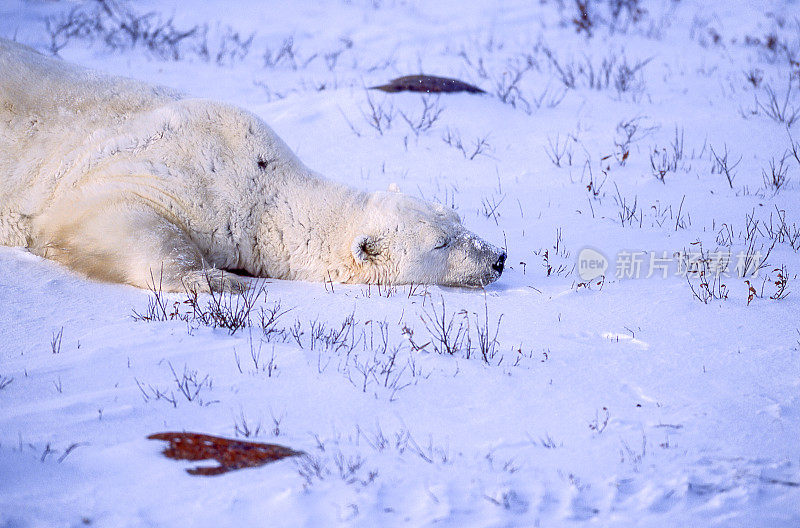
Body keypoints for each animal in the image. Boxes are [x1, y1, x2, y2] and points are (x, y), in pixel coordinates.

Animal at [0, 38, 506, 290]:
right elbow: (107, 216)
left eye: (458, 219)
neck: (260, 185)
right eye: (441, 243)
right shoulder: (161, 171)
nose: (498, 258)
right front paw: (217, 279)